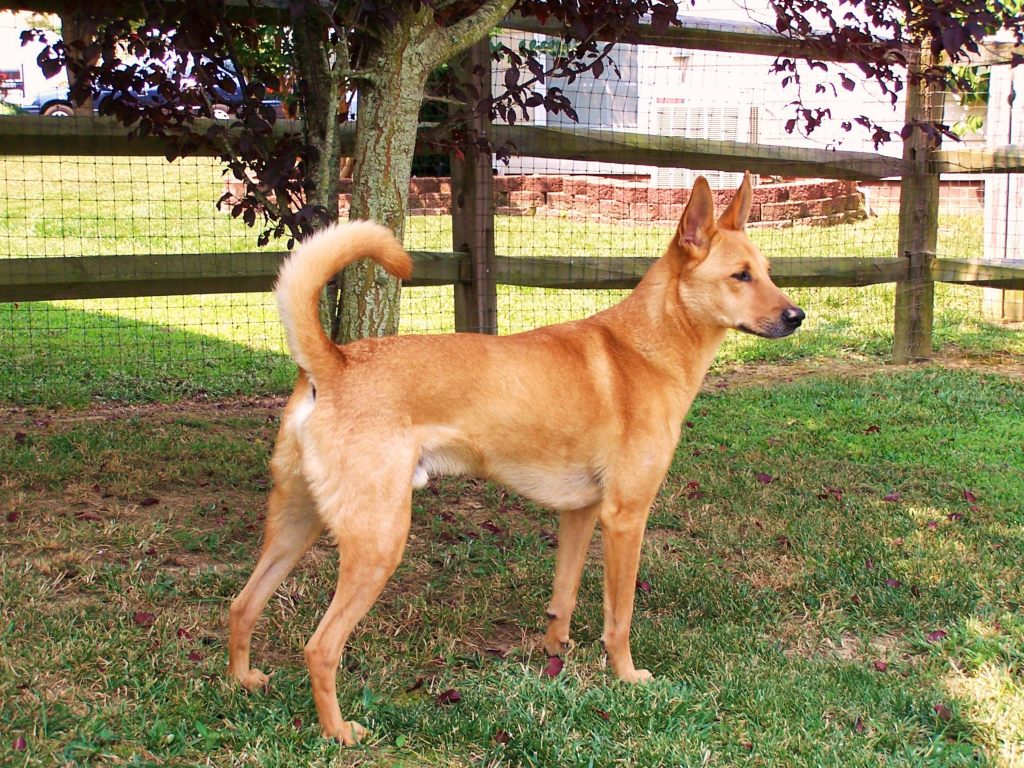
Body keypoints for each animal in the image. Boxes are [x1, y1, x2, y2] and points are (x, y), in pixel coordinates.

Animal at [228, 174, 802, 745]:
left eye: (769, 271)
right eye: (740, 275)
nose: (798, 316)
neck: (646, 347)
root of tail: (335, 362)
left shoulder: (580, 513)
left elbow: (564, 596)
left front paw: (556, 654)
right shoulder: (625, 518)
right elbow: (619, 617)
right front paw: (625, 675)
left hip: (296, 524)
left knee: (242, 605)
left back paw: (243, 682)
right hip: (378, 542)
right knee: (320, 647)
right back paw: (339, 731)